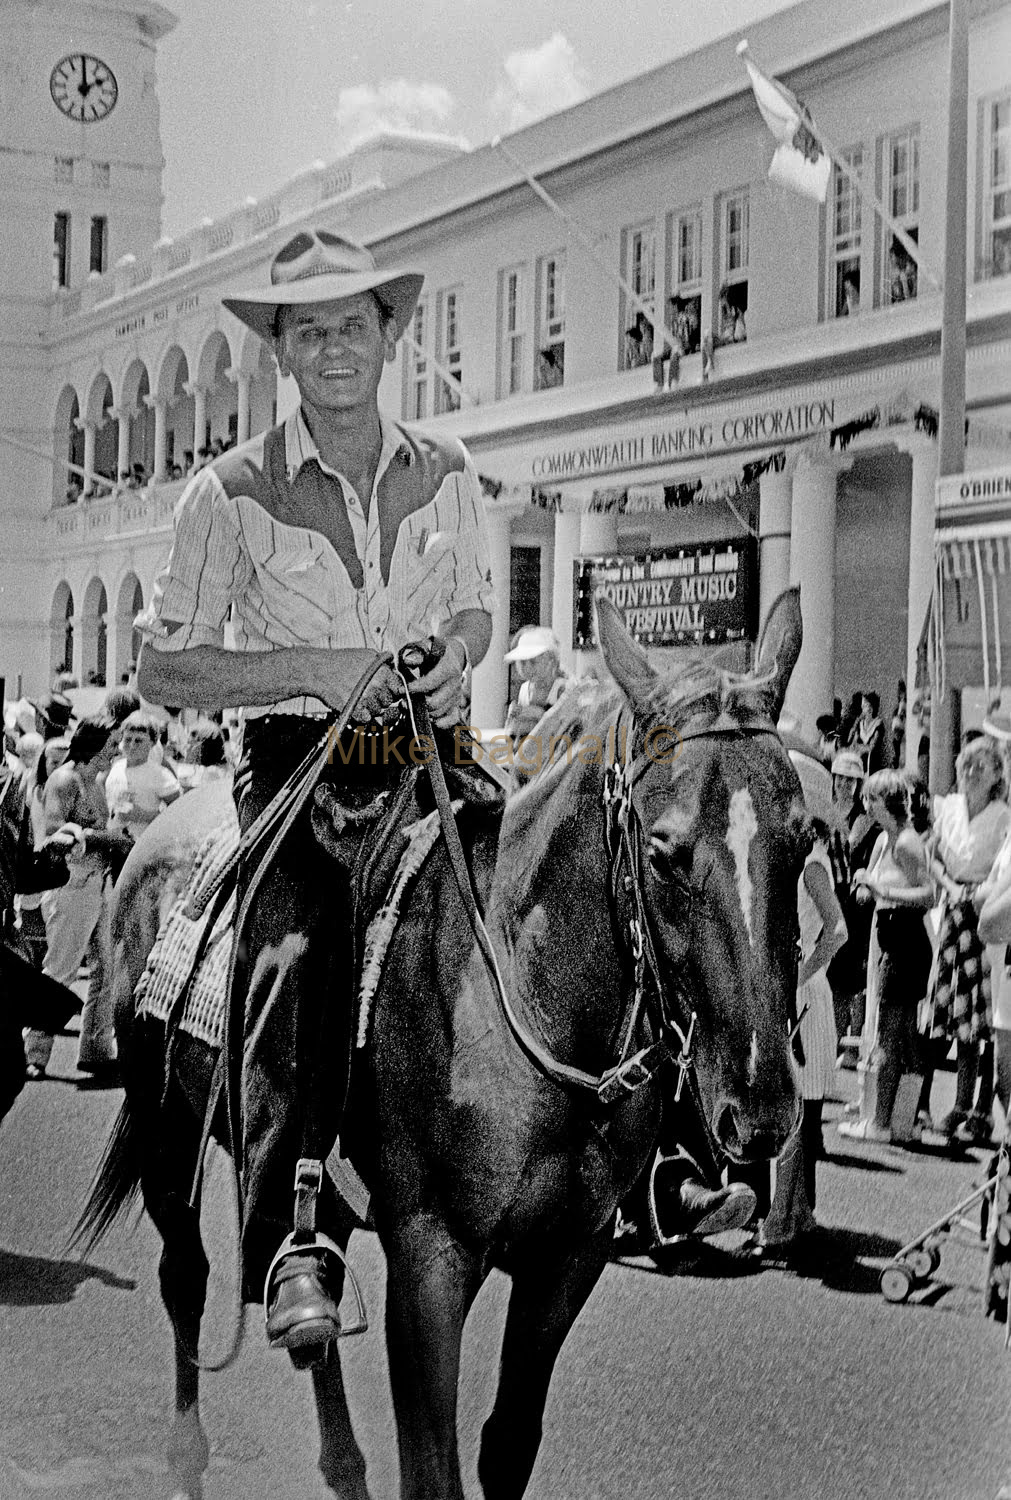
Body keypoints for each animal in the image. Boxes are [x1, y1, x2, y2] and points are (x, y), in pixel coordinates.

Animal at [75, 591, 810, 1494]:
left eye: (805, 840)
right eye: (665, 853)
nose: (761, 1108)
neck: (530, 1009)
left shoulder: (567, 1259)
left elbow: (506, 1448)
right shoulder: (431, 1261)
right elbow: (433, 1469)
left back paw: (338, 1447)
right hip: (166, 1128)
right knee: (186, 1277)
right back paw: (188, 1454)